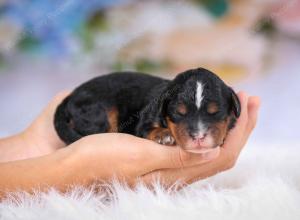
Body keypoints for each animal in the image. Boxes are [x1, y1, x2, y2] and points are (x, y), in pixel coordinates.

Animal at [55, 68, 240, 154]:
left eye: (215, 112)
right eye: (179, 113)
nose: (198, 137)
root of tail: (71, 96)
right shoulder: (144, 120)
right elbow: (148, 129)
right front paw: (163, 135)